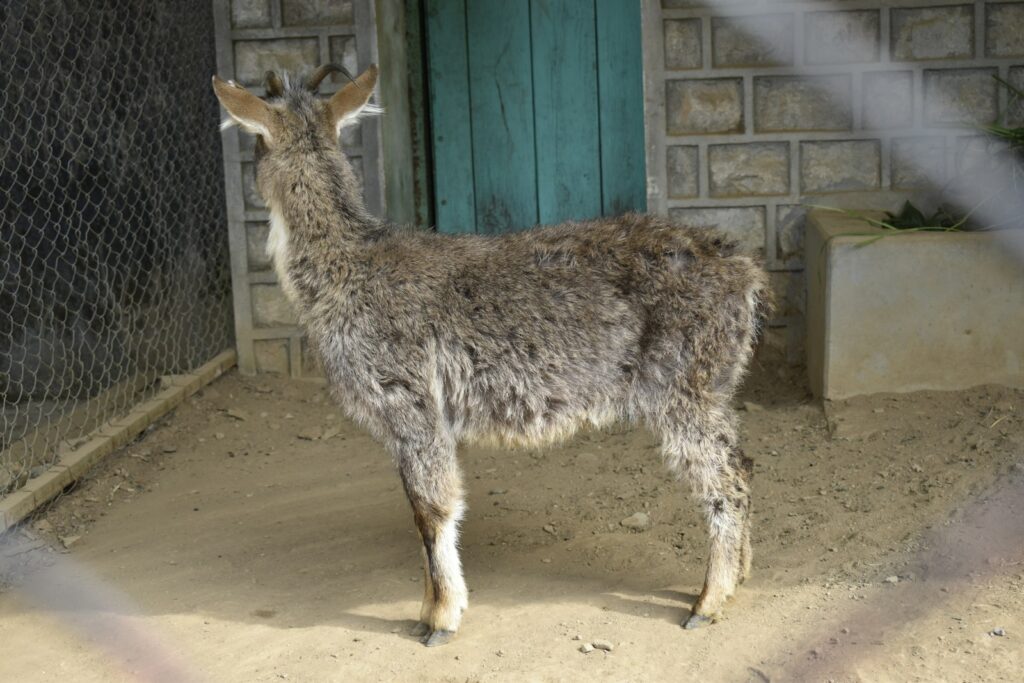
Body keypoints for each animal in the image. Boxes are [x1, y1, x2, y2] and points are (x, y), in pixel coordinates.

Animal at [213, 63, 770, 647]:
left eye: (253, 143)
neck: (346, 268)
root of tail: (748, 275)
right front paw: (434, 608)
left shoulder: (409, 401)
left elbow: (432, 509)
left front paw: (439, 618)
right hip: (712, 388)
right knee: (743, 462)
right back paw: (740, 575)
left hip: (684, 386)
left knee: (724, 480)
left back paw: (708, 600)